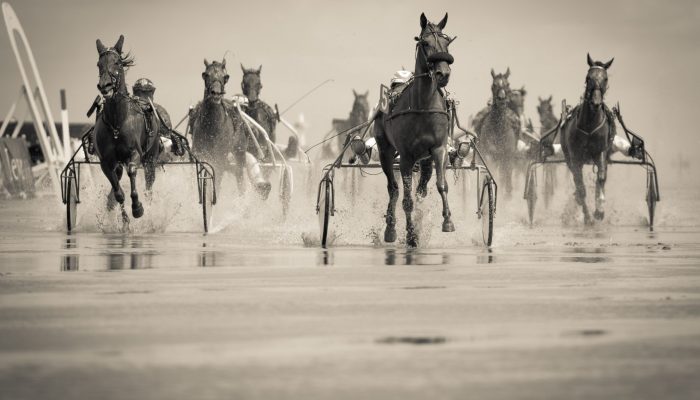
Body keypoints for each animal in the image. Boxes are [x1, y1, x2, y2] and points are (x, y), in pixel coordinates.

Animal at [91, 35, 159, 219]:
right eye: (99, 64)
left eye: (117, 63)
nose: (105, 86)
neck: (117, 122)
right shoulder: (106, 163)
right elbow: (118, 192)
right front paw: (124, 219)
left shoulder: (135, 154)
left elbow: (132, 171)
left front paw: (137, 207)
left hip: (151, 158)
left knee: (149, 183)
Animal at [189, 57, 249, 192]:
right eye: (206, 75)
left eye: (225, 77)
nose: (215, 93)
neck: (211, 127)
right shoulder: (200, 155)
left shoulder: (219, 158)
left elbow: (216, 182)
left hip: (239, 152)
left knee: (240, 176)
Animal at [374, 13, 456, 247]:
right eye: (425, 43)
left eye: (447, 42)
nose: (443, 73)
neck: (423, 106)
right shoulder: (406, 157)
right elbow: (406, 199)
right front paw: (411, 235)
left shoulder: (438, 149)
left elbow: (441, 185)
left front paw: (448, 221)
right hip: (385, 151)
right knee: (393, 189)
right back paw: (391, 228)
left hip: (425, 158)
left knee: (422, 186)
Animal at [560, 52, 616, 225]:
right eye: (588, 77)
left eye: (605, 78)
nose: (596, 102)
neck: (590, 126)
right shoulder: (575, 157)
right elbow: (581, 187)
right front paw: (588, 217)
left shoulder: (601, 151)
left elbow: (601, 178)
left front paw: (599, 211)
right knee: (578, 183)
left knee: (600, 178)